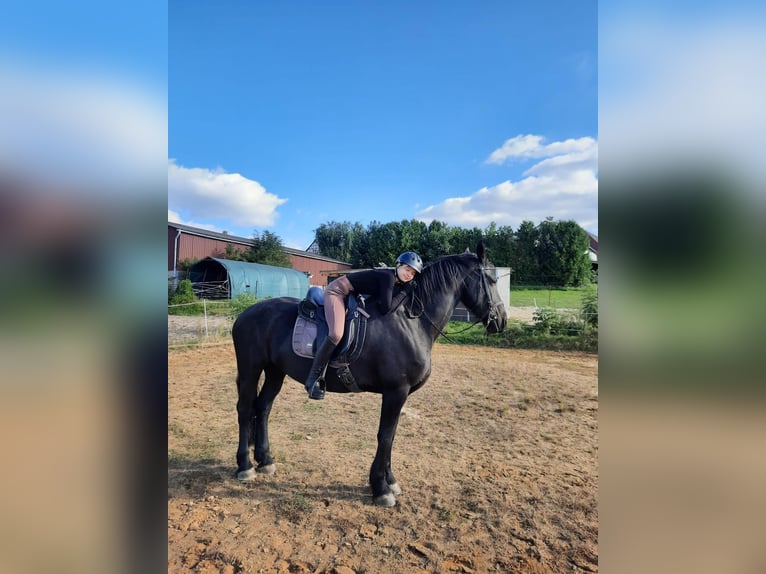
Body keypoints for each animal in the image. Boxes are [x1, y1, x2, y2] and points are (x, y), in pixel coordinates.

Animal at [231, 241, 507, 507]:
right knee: (245, 408)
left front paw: (391, 481)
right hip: (250, 369)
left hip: (275, 371)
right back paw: (245, 465)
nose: (501, 321)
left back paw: (265, 460)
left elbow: (391, 436)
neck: (411, 322)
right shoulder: (396, 392)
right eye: (491, 280)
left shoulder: (399, 395)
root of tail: (245, 313)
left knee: (263, 407)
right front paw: (381, 488)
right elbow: (384, 437)